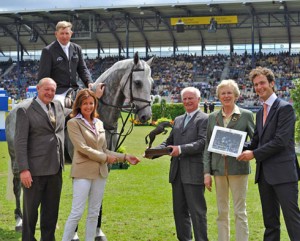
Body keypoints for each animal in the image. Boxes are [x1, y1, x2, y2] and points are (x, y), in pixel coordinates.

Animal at [5, 51, 154, 240]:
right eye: (137, 82)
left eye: (152, 83)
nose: (146, 116)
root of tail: (16, 108)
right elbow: (78, 199)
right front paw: (74, 233)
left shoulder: (105, 163)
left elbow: (98, 200)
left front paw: (98, 231)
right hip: (17, 159)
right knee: (18, 186)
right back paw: (19, 220)